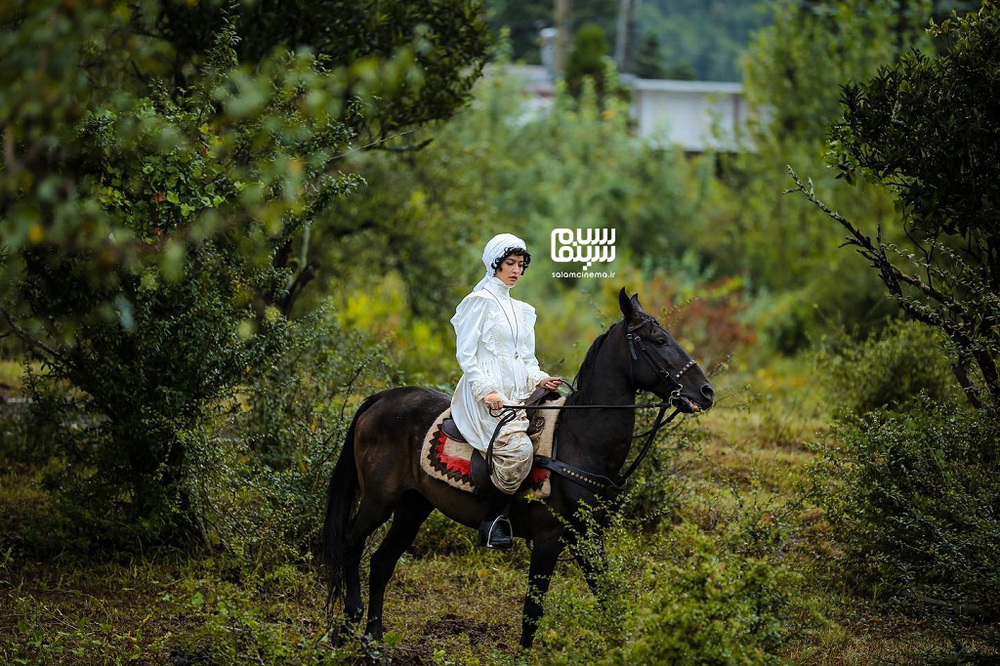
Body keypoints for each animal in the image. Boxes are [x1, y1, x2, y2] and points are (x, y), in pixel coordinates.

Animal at [324, 286, 716, 648]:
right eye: (660, 340)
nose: (706, 392)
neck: (578, 439)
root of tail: (380, 398)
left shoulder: (587, 537)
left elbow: (606, 595)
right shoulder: (548, 539)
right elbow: (533, 611)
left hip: (413, 505)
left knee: (381, 563)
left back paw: (373, 639)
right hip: (380, 500)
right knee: (351, 543)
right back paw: (350, 623)